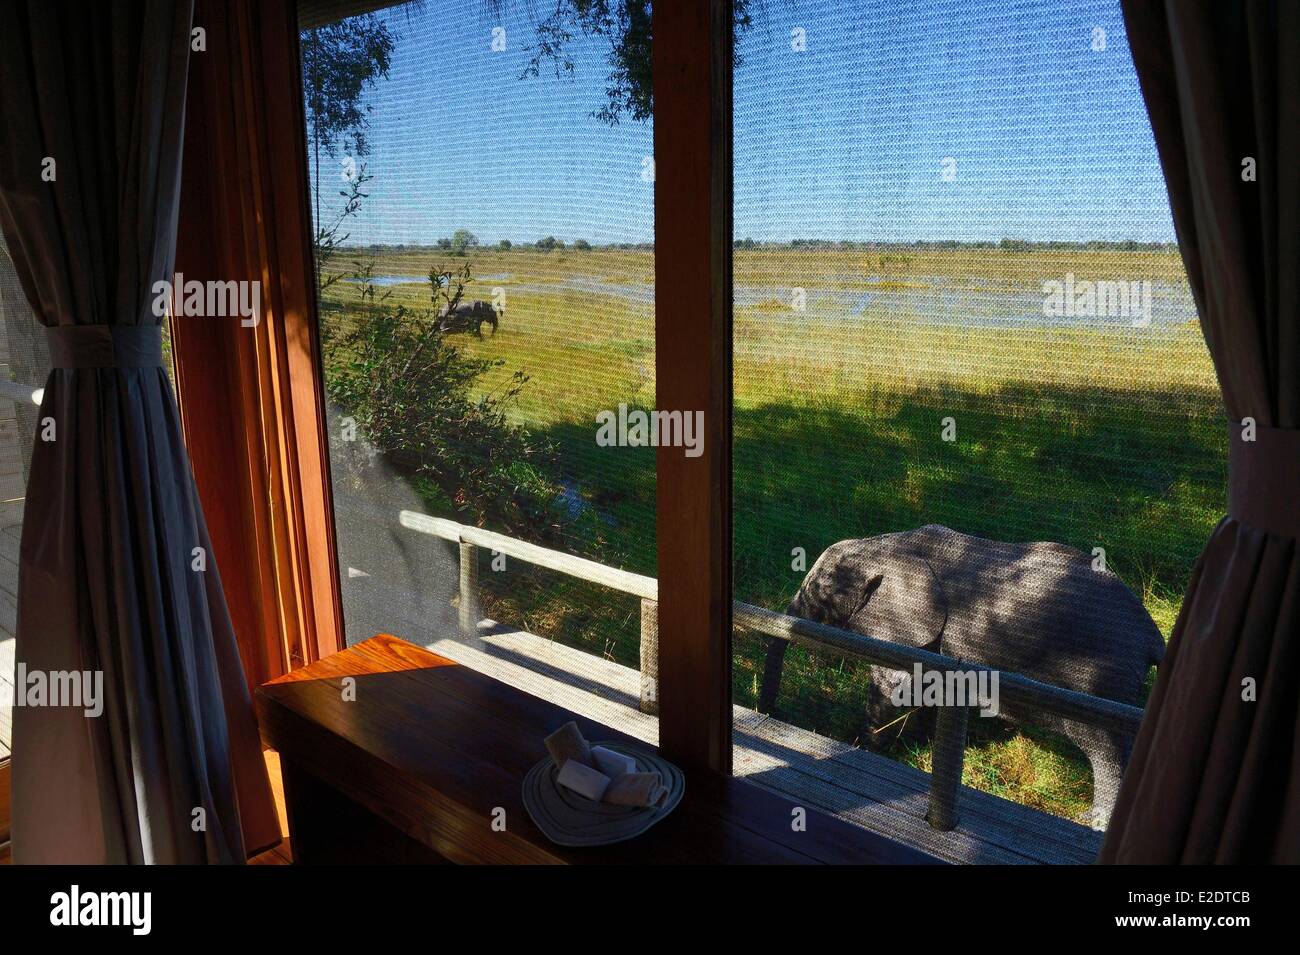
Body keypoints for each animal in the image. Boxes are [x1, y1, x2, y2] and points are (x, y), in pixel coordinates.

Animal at [759, 522, 1164, 831]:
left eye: (819, 591)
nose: (772, 713)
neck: (884, 545)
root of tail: (1151, 633)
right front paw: (914, 743)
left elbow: (892, 685)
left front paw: (863, 746)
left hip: (1099, 673)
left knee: (1104, 746)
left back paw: (1092, 821)